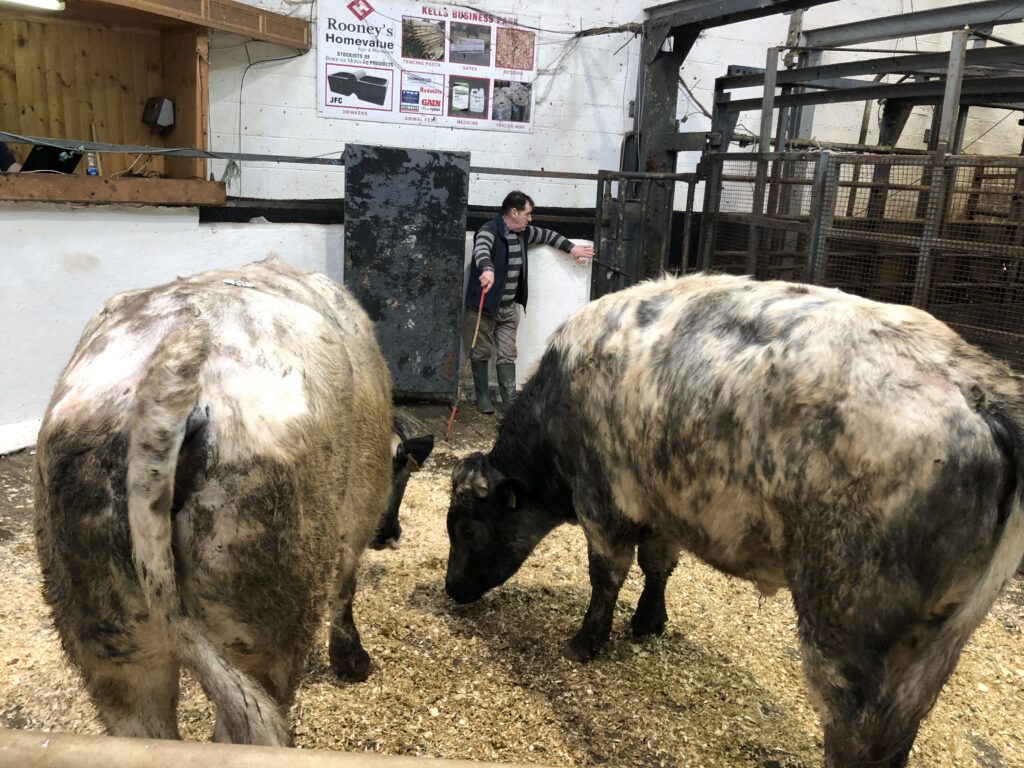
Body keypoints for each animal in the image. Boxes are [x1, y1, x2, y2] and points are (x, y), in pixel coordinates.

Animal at [444, 273, 1024, 768]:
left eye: (467, 528)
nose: (451, 588)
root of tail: (977, 385)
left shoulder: (602, 502)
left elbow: (607, 575)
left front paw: (587, 641)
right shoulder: (661, 504)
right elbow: (658, 566)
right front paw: (649, 621)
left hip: (847, 630)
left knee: (858, 734)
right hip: (939, 641)